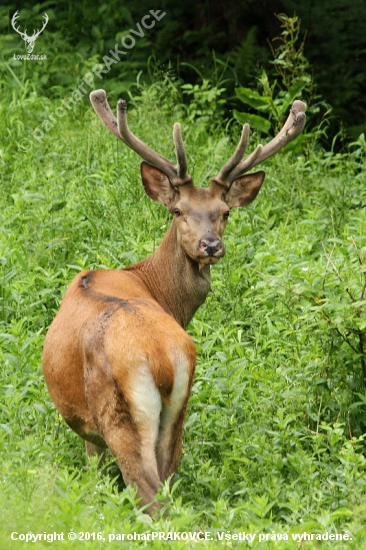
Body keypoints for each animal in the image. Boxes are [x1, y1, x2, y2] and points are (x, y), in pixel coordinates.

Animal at [43, 88, 306, 516]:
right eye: (179, 210)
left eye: (225, 212)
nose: (210, 245)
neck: (151, 285)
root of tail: (160, 358)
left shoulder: (88, 431)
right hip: (180, 405)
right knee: (169, 477)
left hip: (116, 412)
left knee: (146, 488)